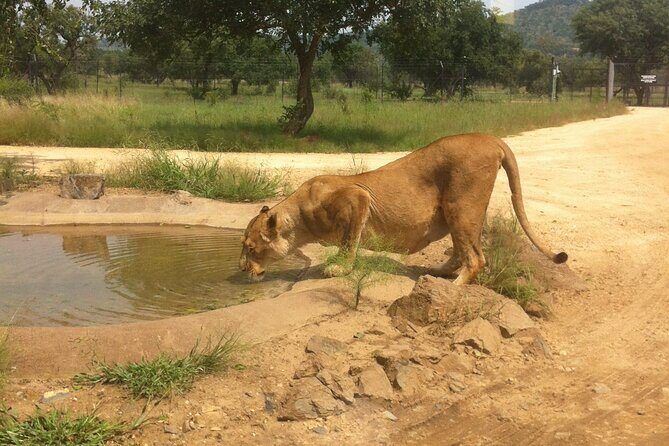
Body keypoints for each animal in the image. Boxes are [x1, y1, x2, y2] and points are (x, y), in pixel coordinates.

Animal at [240, 133, 567, 284]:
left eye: (251, 248)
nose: (241, 268)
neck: (299, 219)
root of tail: (492, 138)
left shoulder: (357, 197)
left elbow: (348, 243)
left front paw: (339, 268)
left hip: (462, 205)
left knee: (476, 258)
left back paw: (453, 285)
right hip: (457, 213)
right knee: (463, 249)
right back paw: (438, 271)